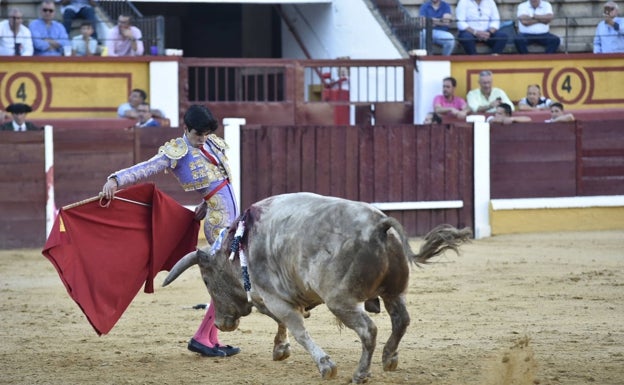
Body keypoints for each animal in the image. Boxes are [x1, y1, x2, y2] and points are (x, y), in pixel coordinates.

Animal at [163, 192, 470, 380]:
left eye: (206, 280)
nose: (221, 323)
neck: (240, 246)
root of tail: (379, 224)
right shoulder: (275, 297)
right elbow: (282, 322)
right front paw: (280, 349)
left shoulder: (273, 297)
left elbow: (296, 328)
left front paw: (325, 366)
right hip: (393, 292)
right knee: (401, 320)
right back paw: (388, 358)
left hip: (341, 301)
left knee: (368, 330)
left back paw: (360, 373)